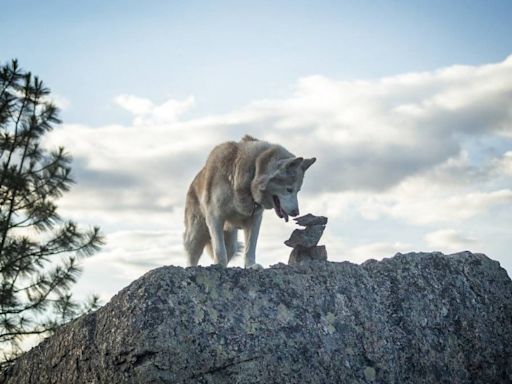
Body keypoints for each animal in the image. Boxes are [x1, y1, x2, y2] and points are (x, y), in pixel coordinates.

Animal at [182, 136, 314, 268]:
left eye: (298, 191)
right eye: (289, 189)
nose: (296, 212)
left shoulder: (254, 219)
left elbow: (250, 248)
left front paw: (251, 265)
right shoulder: (215, 217)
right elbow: (219, 250)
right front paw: (219, 265)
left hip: (231, 243)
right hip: (197, 233)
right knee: (192, 255)